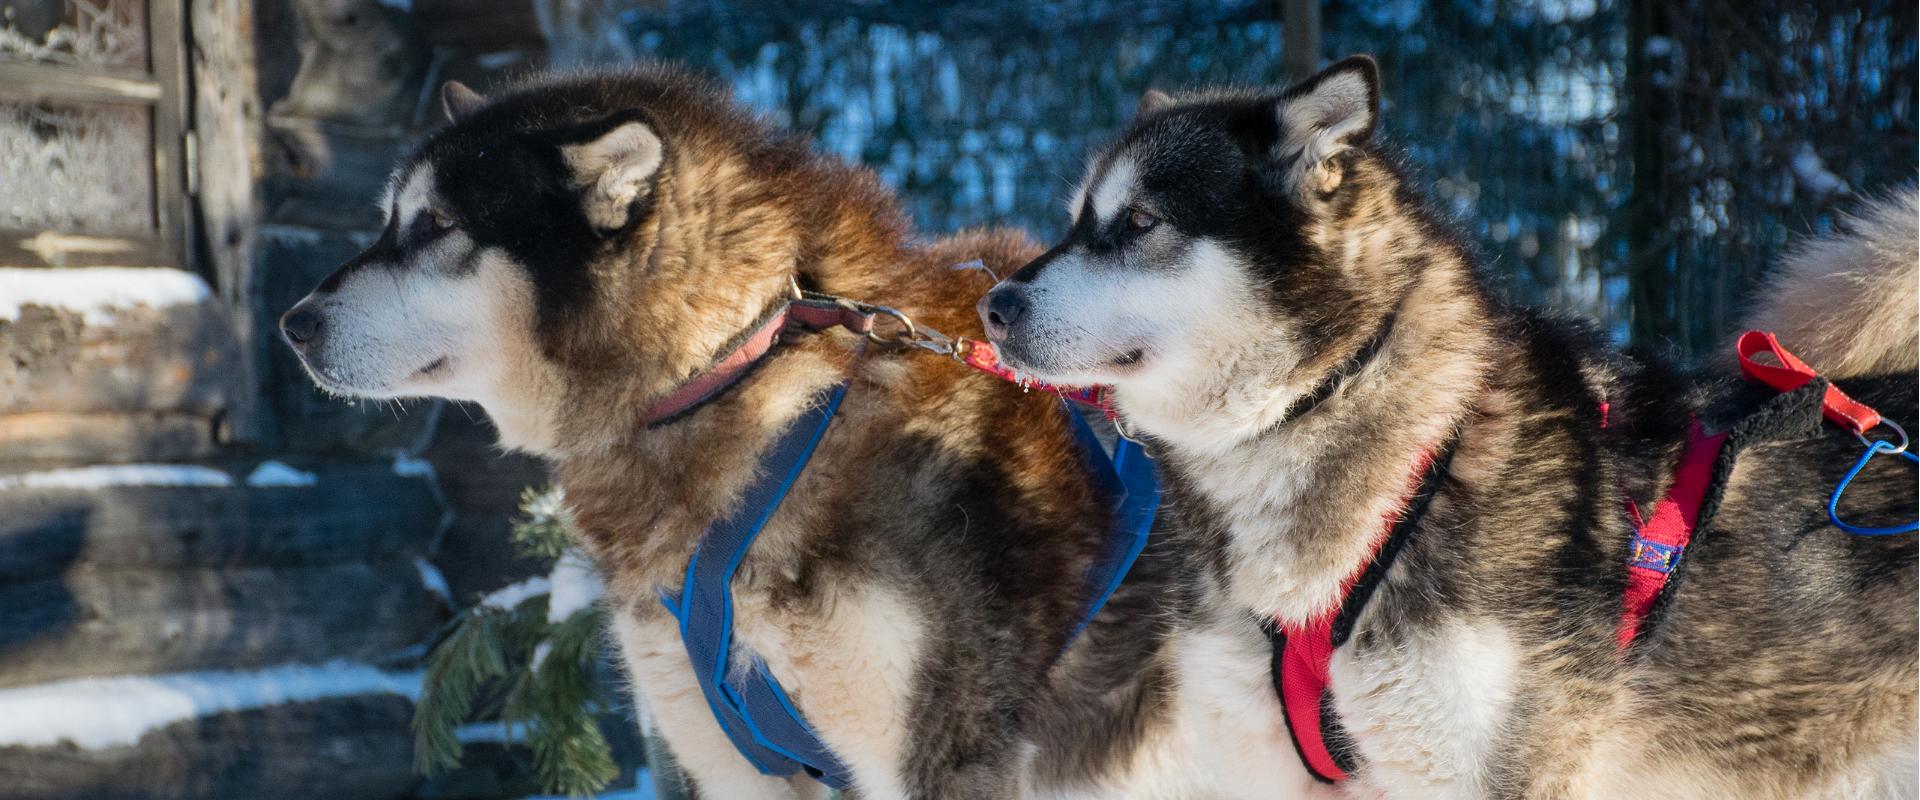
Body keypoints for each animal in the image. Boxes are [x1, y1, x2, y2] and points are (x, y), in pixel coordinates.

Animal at [274, 65, 1320, 794]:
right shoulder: (731, 764)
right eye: (389, 220)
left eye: (436, 226)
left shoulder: (937, 760)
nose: (293, 323)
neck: (743, 369)